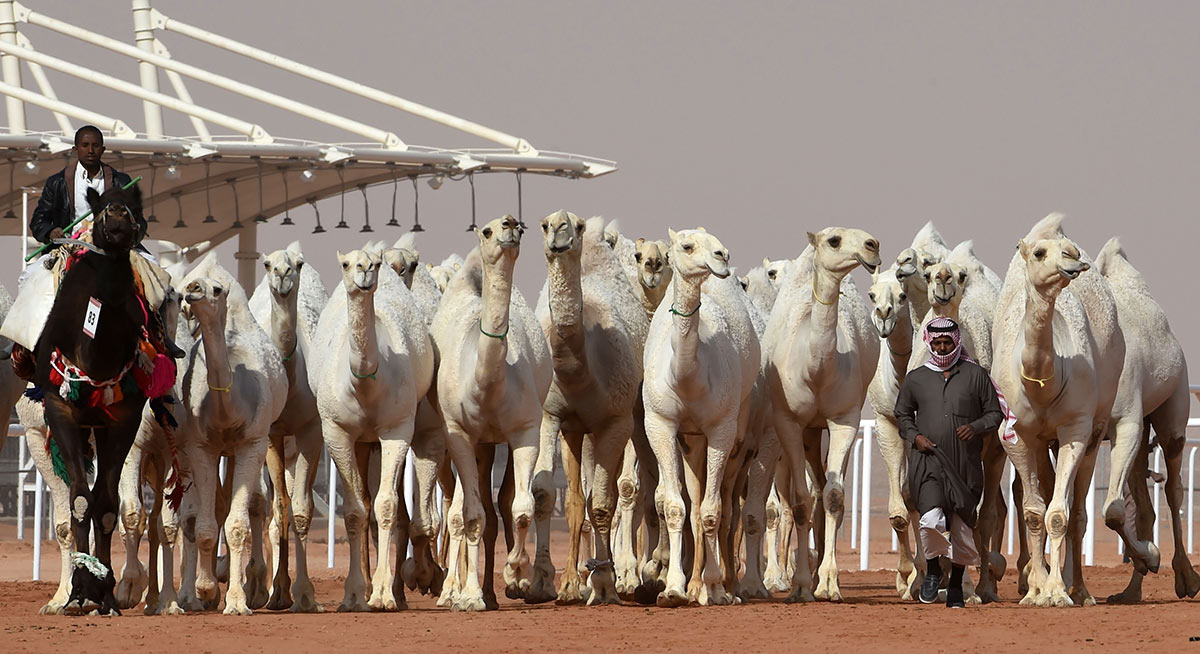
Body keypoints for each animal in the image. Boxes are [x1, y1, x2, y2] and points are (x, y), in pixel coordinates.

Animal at [643, 226, 753, 604]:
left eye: (717, 244)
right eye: (686, 246)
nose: (722, 257)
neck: (688, 379)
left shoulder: (721, 428)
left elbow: (711, 511)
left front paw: (717, 588)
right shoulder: (660, 425)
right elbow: (677, 508)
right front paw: (674, 588)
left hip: (735, 436)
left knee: (726, 506)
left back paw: (720, 586)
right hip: (691, 441)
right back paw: (693, 586)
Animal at [768, 226, 883, 600]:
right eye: (834, 240)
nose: (873, 246)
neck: (816, 370)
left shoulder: (845, 419)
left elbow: (834, 497)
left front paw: (829, 582)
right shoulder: (788, 422)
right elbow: (800, 502)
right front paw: (801, 585)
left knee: (825, 490)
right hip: (807, 432)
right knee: (810, 492)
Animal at [984, 216, 1123, 607]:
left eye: (1070, 251)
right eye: (1039, 253)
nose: (1073, 264)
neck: (1043, 384)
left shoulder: (1075, 429)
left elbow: (1059, 515)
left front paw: (1058, 592)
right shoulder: (1016, 435)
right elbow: (1034, 513)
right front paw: (1035, 591)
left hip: (1094, 432)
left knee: (1077, 513)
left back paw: (1081, 590)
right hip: (1043, 442)